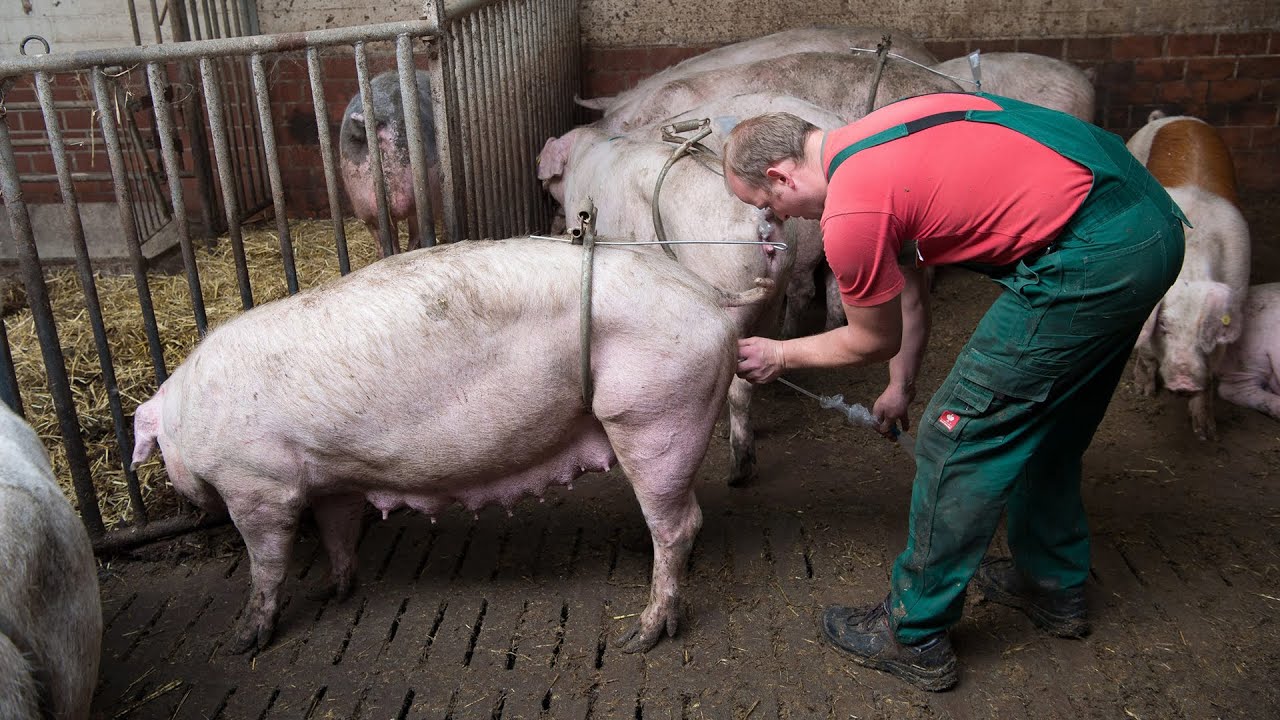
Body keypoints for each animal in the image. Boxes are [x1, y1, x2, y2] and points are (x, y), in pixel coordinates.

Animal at [131, 239, 768, 654]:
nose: (186, 497)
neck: (189, 415)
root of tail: (713, 297)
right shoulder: (332, 482)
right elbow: (338, 532)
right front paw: (338, 591)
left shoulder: (256, 483)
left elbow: (266, 561)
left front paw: (244, 640)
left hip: (653, 415)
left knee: (678, 523)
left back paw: (642, 635)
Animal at [1128, 113, 1251, 440]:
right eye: (1165, 325)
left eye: (1206, 329)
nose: (1183, 383)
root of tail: (1172, 117)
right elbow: (1146, 351)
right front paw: (1142, 393)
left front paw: (1206, 433)